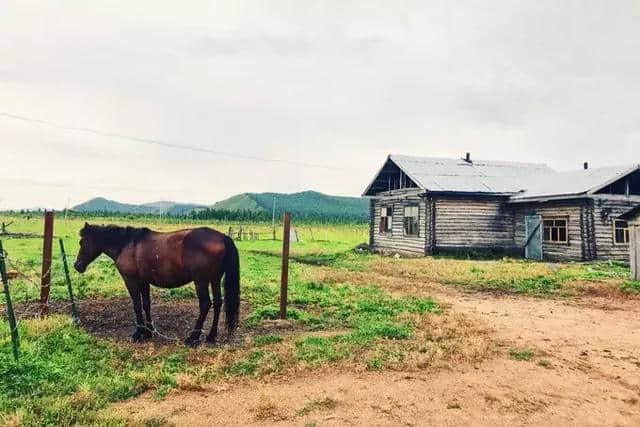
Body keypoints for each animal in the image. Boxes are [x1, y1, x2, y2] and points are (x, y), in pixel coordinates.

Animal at [72, 224, 241, 348]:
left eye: (82, 242)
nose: (77, 265)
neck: (126, 244)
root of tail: (222, 237)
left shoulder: (131, 281)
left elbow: (137, 305)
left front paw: (138, 333)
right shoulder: (144, 282)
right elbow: (146, 305)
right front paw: (148, 331)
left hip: (201, 281)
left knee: (205, 304)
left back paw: (193, 337)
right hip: (214, 279)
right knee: (218, 303)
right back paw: (211, 336)